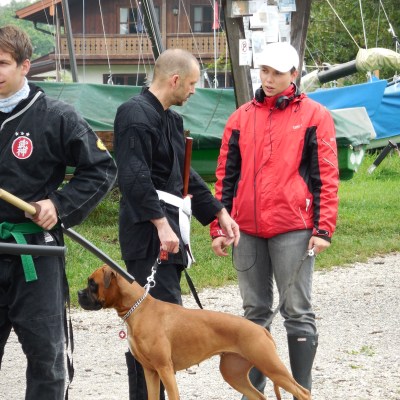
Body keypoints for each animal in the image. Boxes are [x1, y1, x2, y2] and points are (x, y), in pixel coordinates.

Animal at [78, 264, 311, 400]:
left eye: (92, 283)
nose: (79, 293)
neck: (139, 307)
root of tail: (261, 330)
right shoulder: (150, 371)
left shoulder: (165, 369)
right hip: (233, 373)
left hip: (272, 367)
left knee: (303, 392)